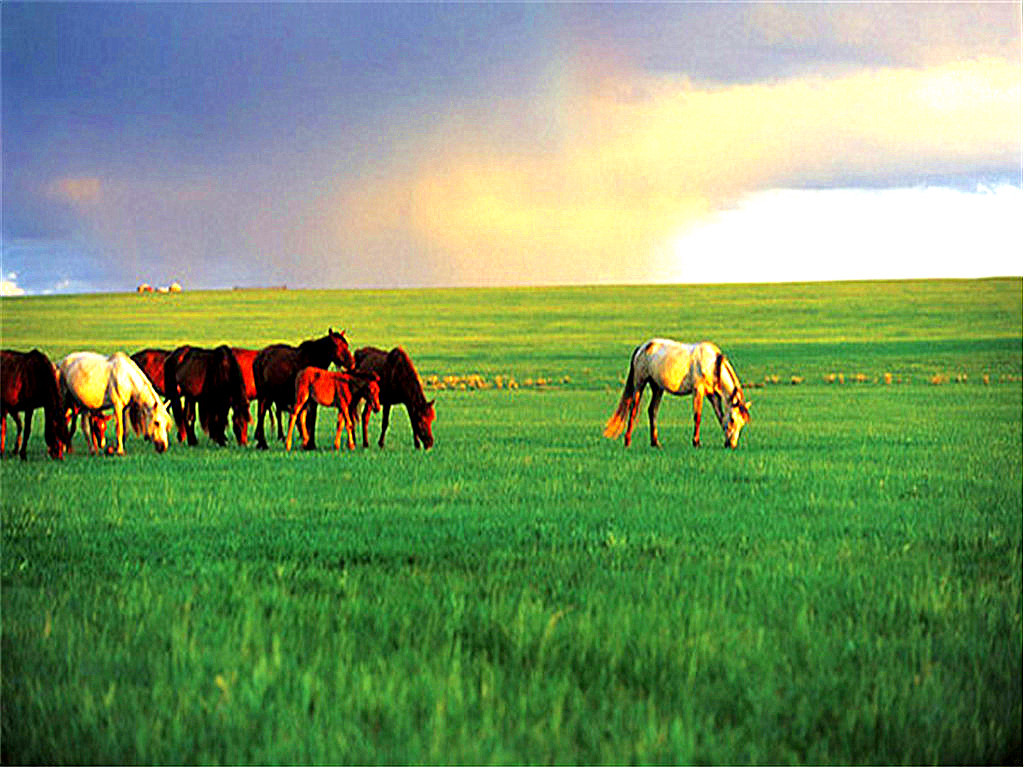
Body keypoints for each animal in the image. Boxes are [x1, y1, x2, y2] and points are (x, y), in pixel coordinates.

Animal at [598, 337, 753, 450]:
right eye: (732, 419)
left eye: (742, 422)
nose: (732, 445)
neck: (712, 364)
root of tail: (642, 347)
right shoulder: (698, 390)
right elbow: (698, 416)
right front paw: (696, 442)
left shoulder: (713, 395)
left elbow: (720, 417)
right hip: (640, 384)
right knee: (634, 410)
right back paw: (627, 441)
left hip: (657, 387)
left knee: (652, 410)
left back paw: (655, 443)